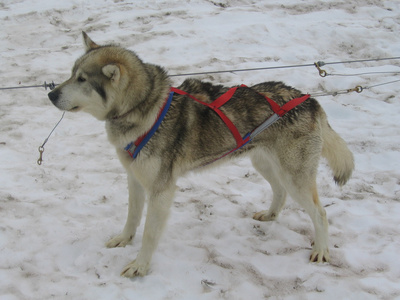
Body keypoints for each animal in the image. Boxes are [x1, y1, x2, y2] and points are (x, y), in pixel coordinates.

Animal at [47, 32, 354, 276]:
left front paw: (140, 266)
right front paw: (124, 239)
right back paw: (270, 215)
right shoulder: (134, 179)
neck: (144, 109)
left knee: (320, 213)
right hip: (264, 163)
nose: (51, 94)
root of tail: (310, 100)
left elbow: (149, 234)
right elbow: (132, 217)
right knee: (280, 191)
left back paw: (322, 250)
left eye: (82, 79)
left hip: (295, 176)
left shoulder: (160, 190)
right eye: (71, 74)